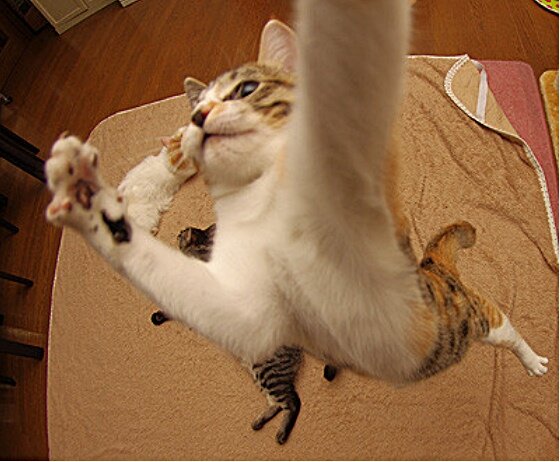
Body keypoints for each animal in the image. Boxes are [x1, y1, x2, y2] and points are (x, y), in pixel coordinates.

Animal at [44, 0, 548, 444]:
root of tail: (437, 268)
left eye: (247, 89)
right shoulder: (244, 303)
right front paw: (85, 196)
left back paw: (535, 363)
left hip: (479, 318)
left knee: (507, 326)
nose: (199, 118)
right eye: (195, 110)